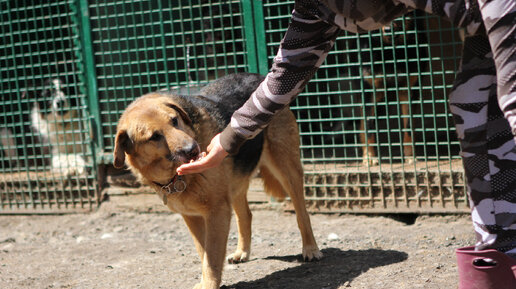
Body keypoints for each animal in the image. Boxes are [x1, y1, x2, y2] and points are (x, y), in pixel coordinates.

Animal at [113, 72, 322, 288]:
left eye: (174, 120)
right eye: (154, 136)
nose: (193, 150)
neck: (176, 176)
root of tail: (257, 75)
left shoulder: (217, 211)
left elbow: (212, 258)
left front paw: (209, 284)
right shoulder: (192, 217)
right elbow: (203, 252)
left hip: (287, 169)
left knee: (302, 213)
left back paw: (310, 249)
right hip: (236, 185)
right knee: (246, 215)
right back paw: (242, 252)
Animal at [354, 10, 428, 164]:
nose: (388, 29)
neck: (390, 52)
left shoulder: (409, 90)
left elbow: (408, 126)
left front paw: (410, 155)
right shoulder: (369, 92)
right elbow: (368, 127)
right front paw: (369, 156)